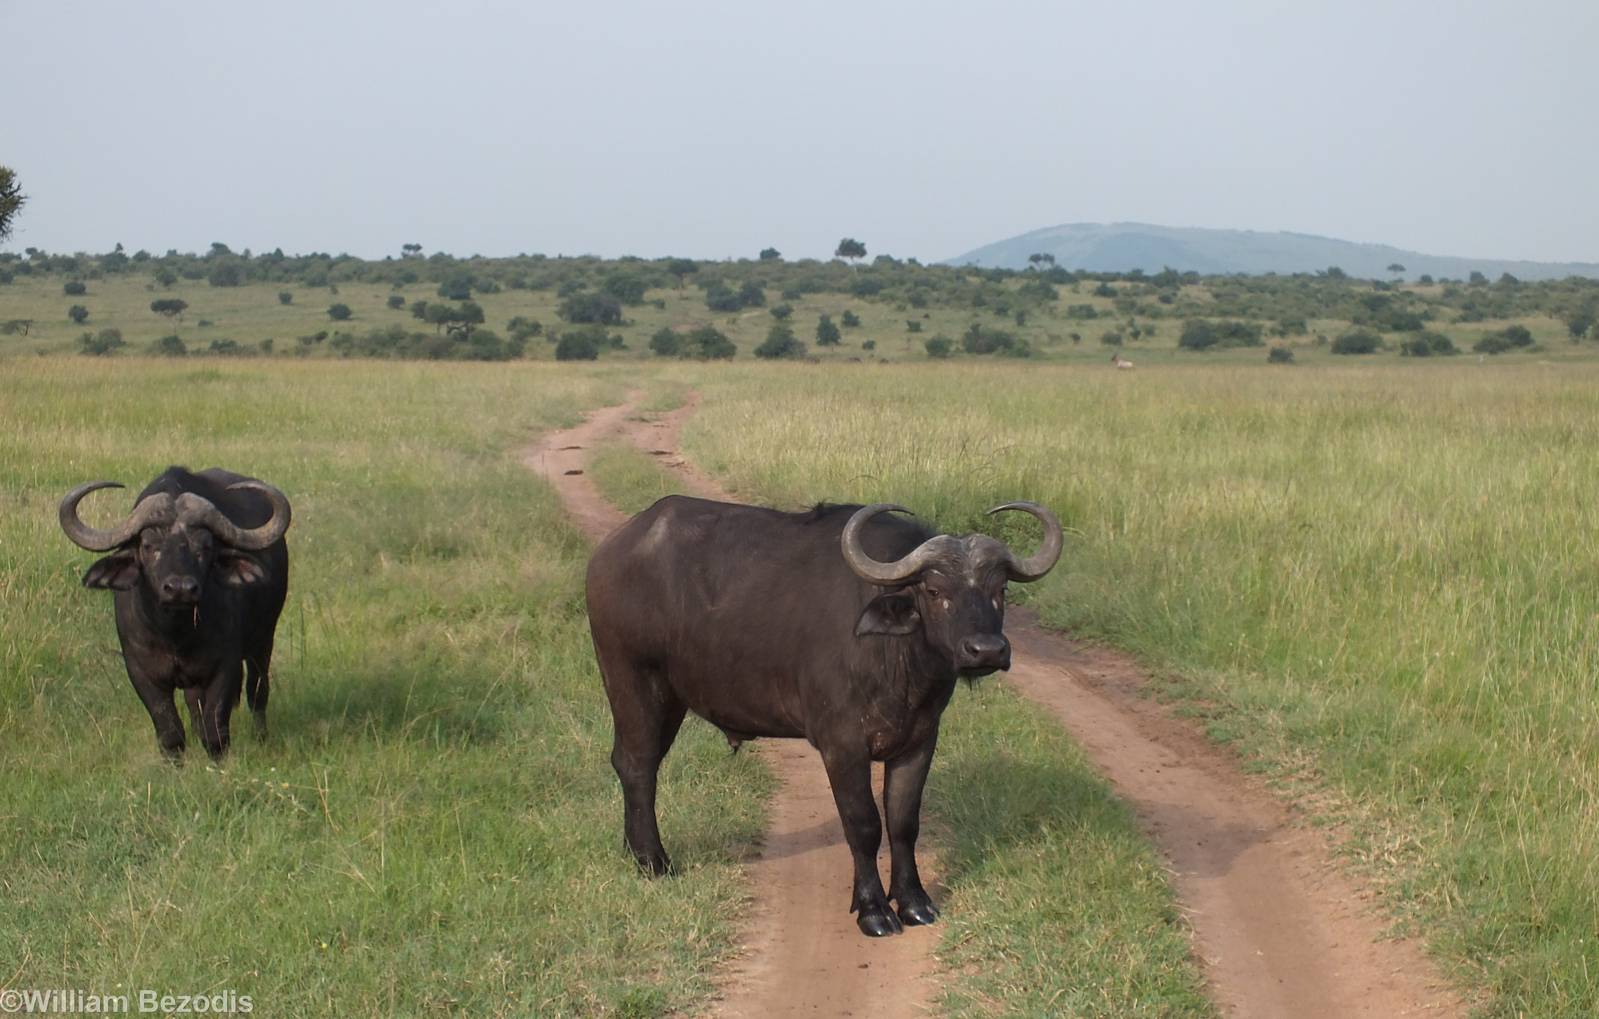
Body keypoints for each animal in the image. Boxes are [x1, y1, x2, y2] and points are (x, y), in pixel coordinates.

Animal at [59, 467, 292, 759]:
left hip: (263, 640)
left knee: (257, 691)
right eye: (149, 546)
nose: (180, 589)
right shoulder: (141, 672)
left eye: (204, 547)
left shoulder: (225, 666)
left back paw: (261, 736)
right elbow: (170, 732)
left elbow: (215, 731)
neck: (176, 635)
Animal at [586, 497, 1062, 936]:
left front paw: (913, 901)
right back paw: (654, 862)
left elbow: (904, 822)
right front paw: (873, 909)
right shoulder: (842, 746)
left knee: (638, 764)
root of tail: (611, 552)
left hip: (672, 698)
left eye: (1000, 590)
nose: (987, 650)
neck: (896, 658)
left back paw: (634, 851)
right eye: (934, 591)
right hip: (632, 680)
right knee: (637, 765)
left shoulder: (920, 741)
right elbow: (864, 824)